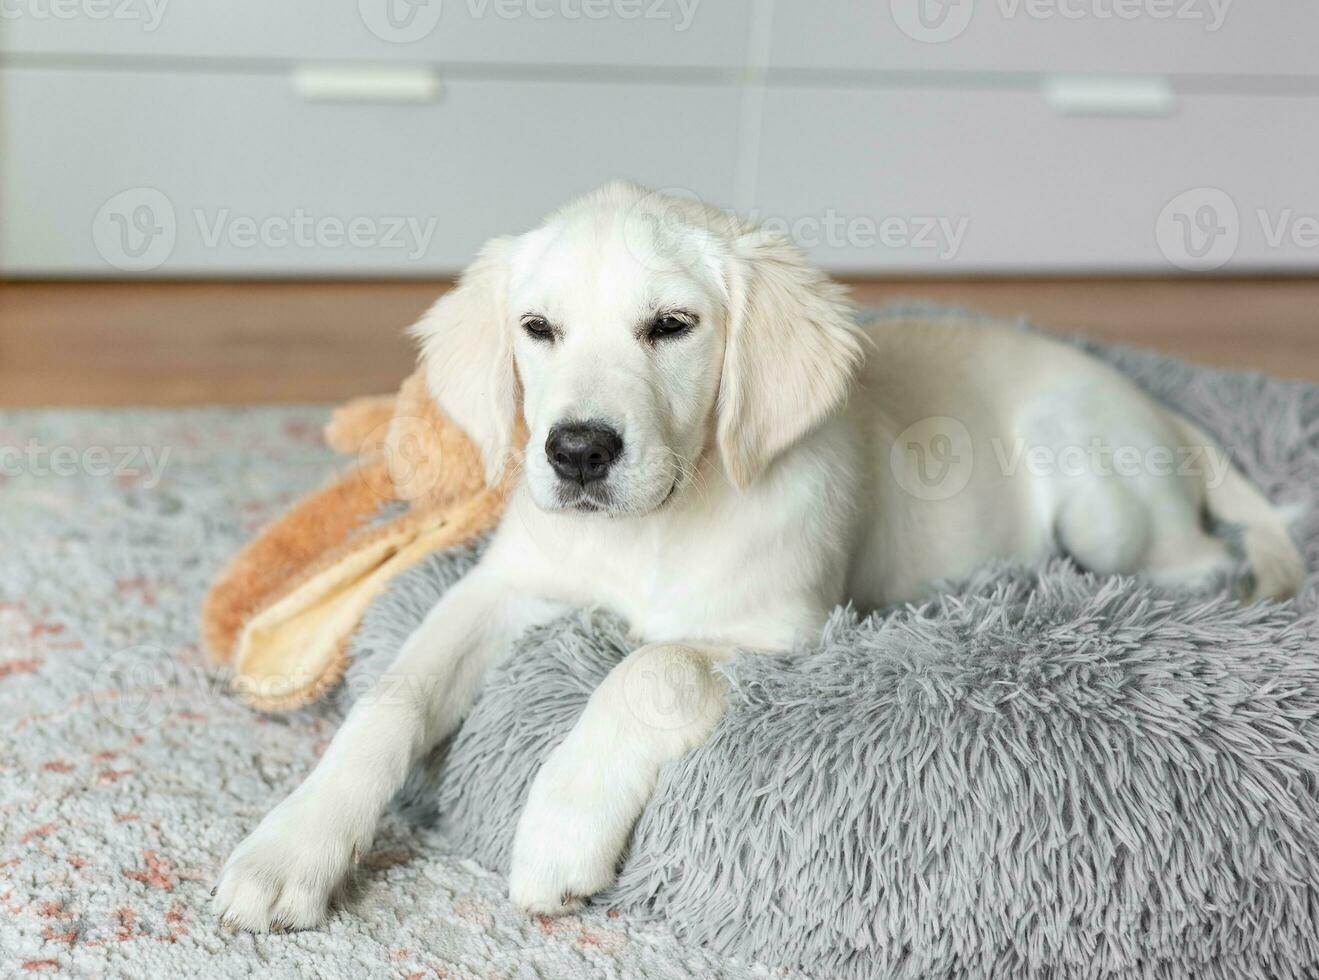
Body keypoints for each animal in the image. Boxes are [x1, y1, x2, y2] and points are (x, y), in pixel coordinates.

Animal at [211, 182, 1303, 928]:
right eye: (537, 328)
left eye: (671, 326)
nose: (576, 451)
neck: (658, 521)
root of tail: (1153, 402)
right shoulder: (505, 586)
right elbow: (391, 699)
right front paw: (293, 843)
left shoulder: (793, 629)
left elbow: (652, 665)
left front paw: (559, 821)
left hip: (1094, 485)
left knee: (1195, 561)